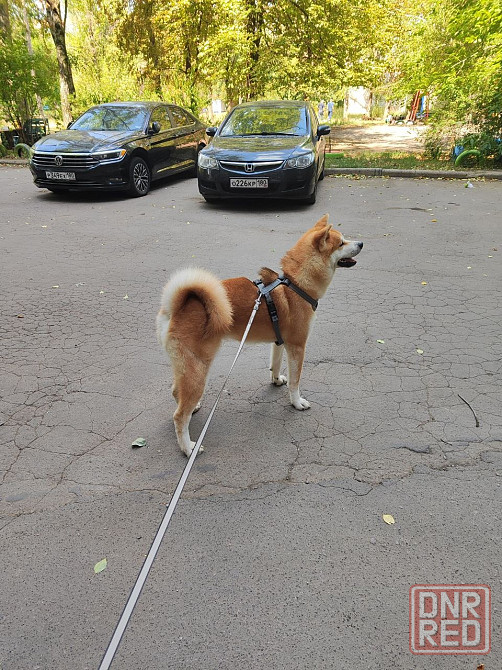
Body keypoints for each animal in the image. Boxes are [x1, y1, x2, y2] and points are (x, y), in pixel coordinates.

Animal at [156, 214, 363, 456]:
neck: (296, 283)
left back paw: (193, 409)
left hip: (185, 368)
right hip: (198, 370)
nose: (361, 243)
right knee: (179, 416)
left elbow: (275, 365)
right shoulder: (297, 346)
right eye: (341, 243)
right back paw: (188, 448)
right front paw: (296, 402)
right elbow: (296, 381)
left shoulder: (279, 342)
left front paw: (276, 380)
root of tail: (177, 307)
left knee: (176, 392)